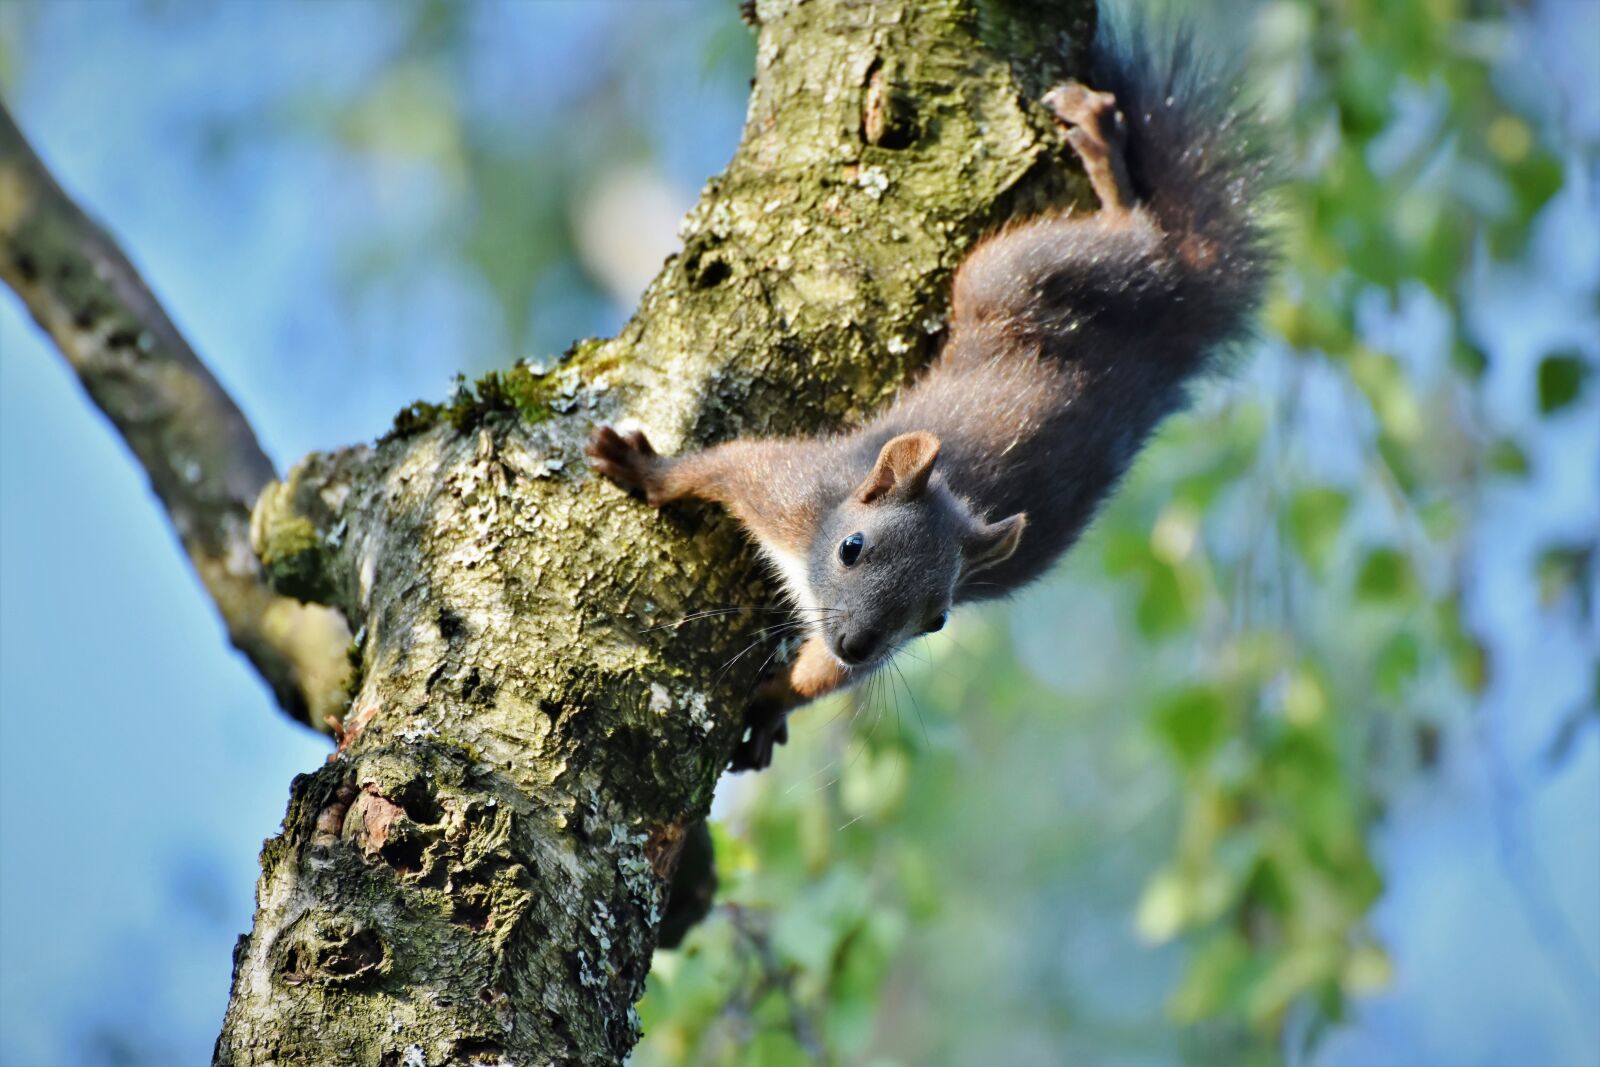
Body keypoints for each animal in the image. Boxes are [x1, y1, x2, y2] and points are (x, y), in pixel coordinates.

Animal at [588, 24, 1273, 771]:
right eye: (851, 548)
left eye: (936, 619)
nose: (860, 642)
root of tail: (1170, 332)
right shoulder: (787, 489)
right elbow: (717, 466)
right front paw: (646, 469)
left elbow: (817, 676)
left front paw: (770, 707)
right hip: (1013, 273)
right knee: (1135, 237)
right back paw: (1102, 146)